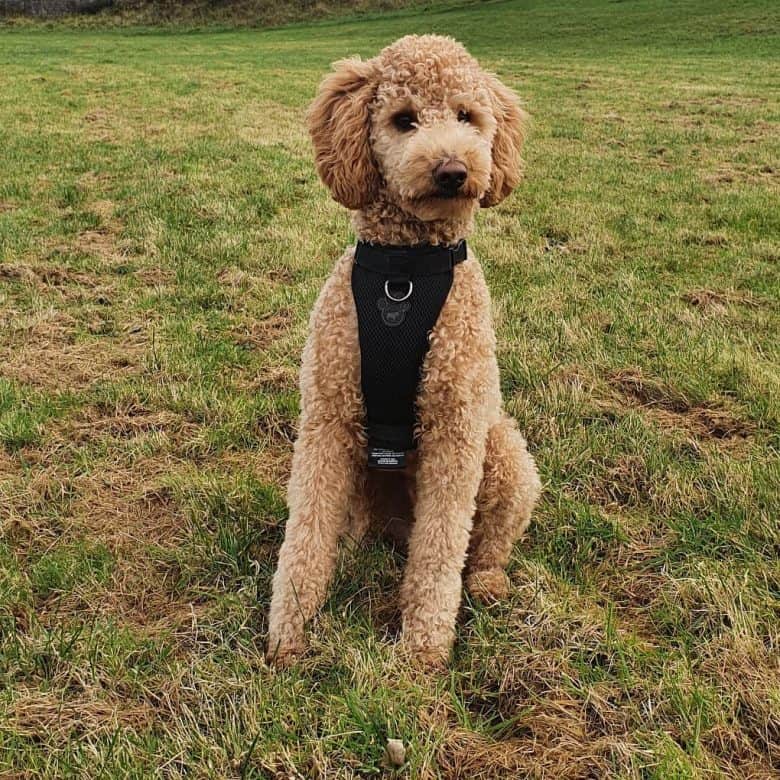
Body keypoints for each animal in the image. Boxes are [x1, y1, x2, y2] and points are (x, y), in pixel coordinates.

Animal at [268, 35, 544, 664]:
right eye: (403, 120)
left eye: (468, 117)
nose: (454, 170)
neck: (406, 271)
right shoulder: (328, 420)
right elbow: (307, 531)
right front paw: (288, 633)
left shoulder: (456, 430)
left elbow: (441, 549)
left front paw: (422, 652)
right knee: (352, 528)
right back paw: (350, 552)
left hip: (505, 455)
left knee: (486, 542)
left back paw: (487, 581)